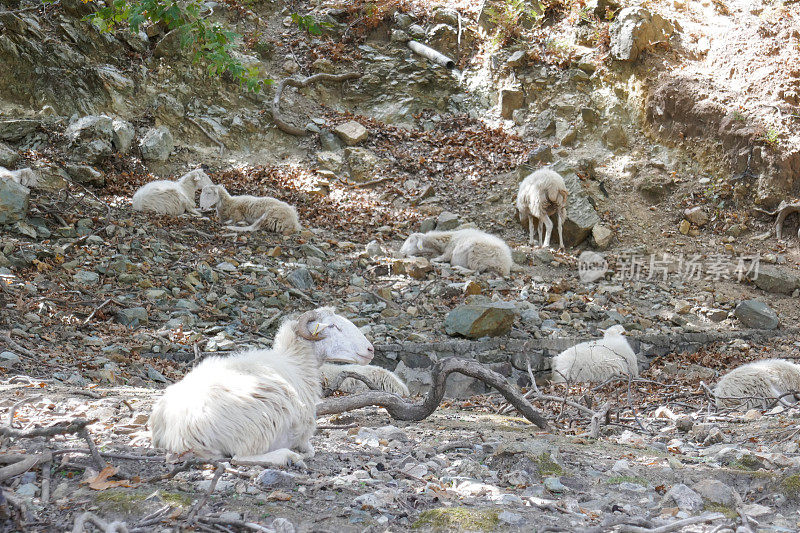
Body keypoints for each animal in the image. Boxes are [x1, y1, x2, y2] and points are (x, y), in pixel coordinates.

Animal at [148, 308, 374, 466]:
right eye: (333, 326)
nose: (370, 349)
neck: (297, 363)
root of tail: (181, 434)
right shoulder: (304, 432)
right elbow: (310, 449)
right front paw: (301, 453)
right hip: (259, 427)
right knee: (239, 458)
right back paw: (288, 457)